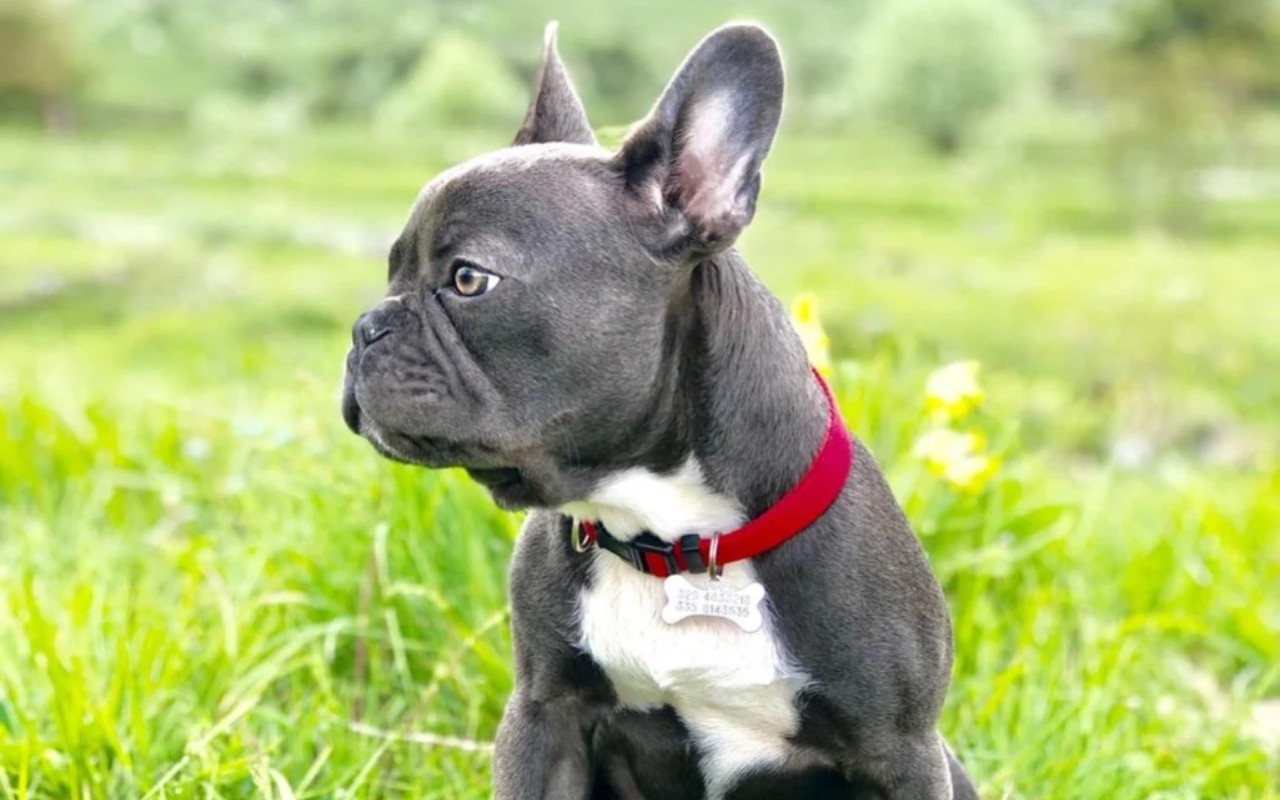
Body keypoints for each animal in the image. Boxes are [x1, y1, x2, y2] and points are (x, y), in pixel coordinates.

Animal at [340, 21, 977, 793]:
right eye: (391, 272)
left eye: (468, 280)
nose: (366, 327)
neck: (670, 541)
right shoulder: (543, 716)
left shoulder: (901, 752)